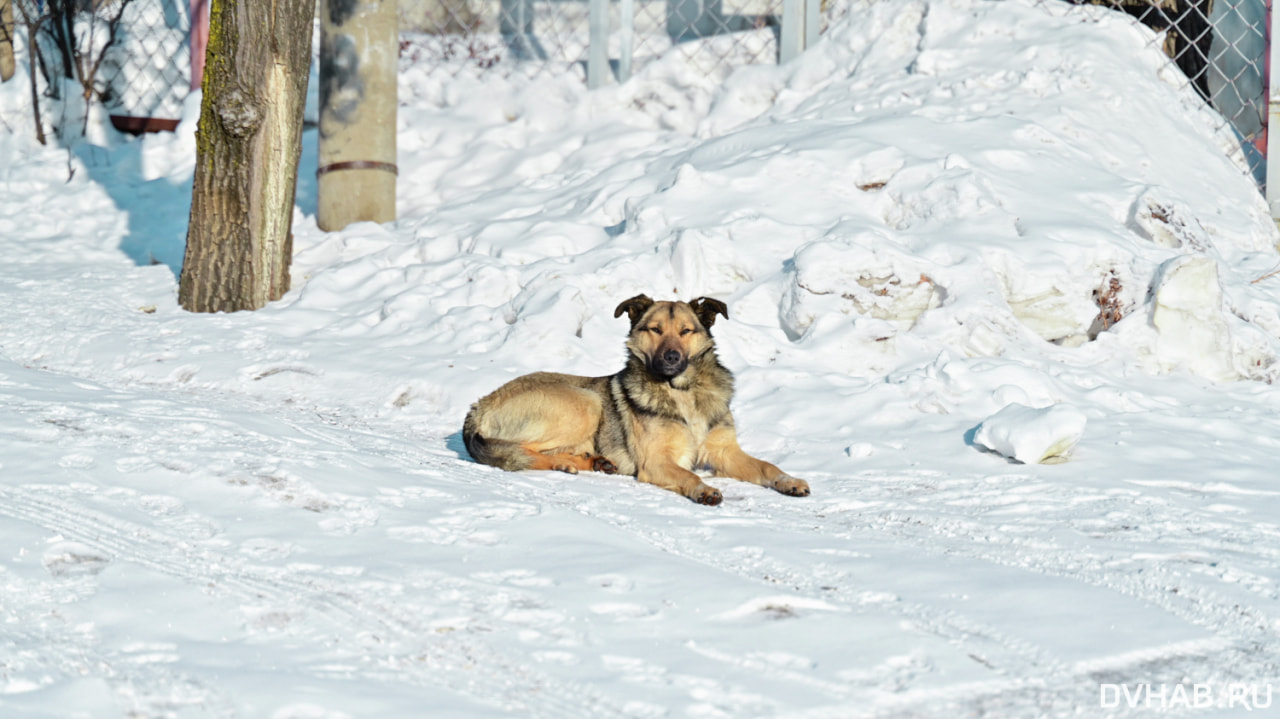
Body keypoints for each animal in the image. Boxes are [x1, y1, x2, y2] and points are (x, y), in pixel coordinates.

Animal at [458, 292, 808, 504]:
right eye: (655, 329)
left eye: (686, 331)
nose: (670, 357)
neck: (681, 390)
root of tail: (478, 406)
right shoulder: (656, 461)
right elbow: (689, 473)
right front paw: (704, 489)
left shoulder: (725, 451)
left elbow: (767, 466)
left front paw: (789, 481)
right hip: (585, 401)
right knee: (519, 451)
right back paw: (568, 462)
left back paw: (592, 462)